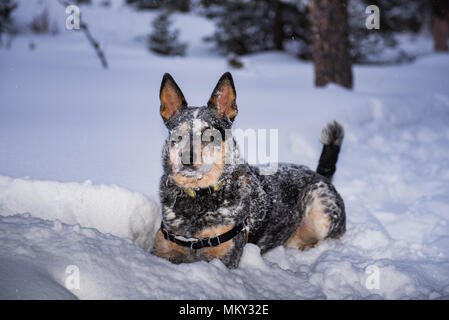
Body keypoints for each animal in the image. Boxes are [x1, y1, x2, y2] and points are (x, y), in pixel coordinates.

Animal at [152, 72, 344, 268]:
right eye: (178, 135)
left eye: (210, 136)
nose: (187, 158)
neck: (198, 196)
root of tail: (319, 174)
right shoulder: (161, 250)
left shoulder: (225, 259)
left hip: (321, 212)